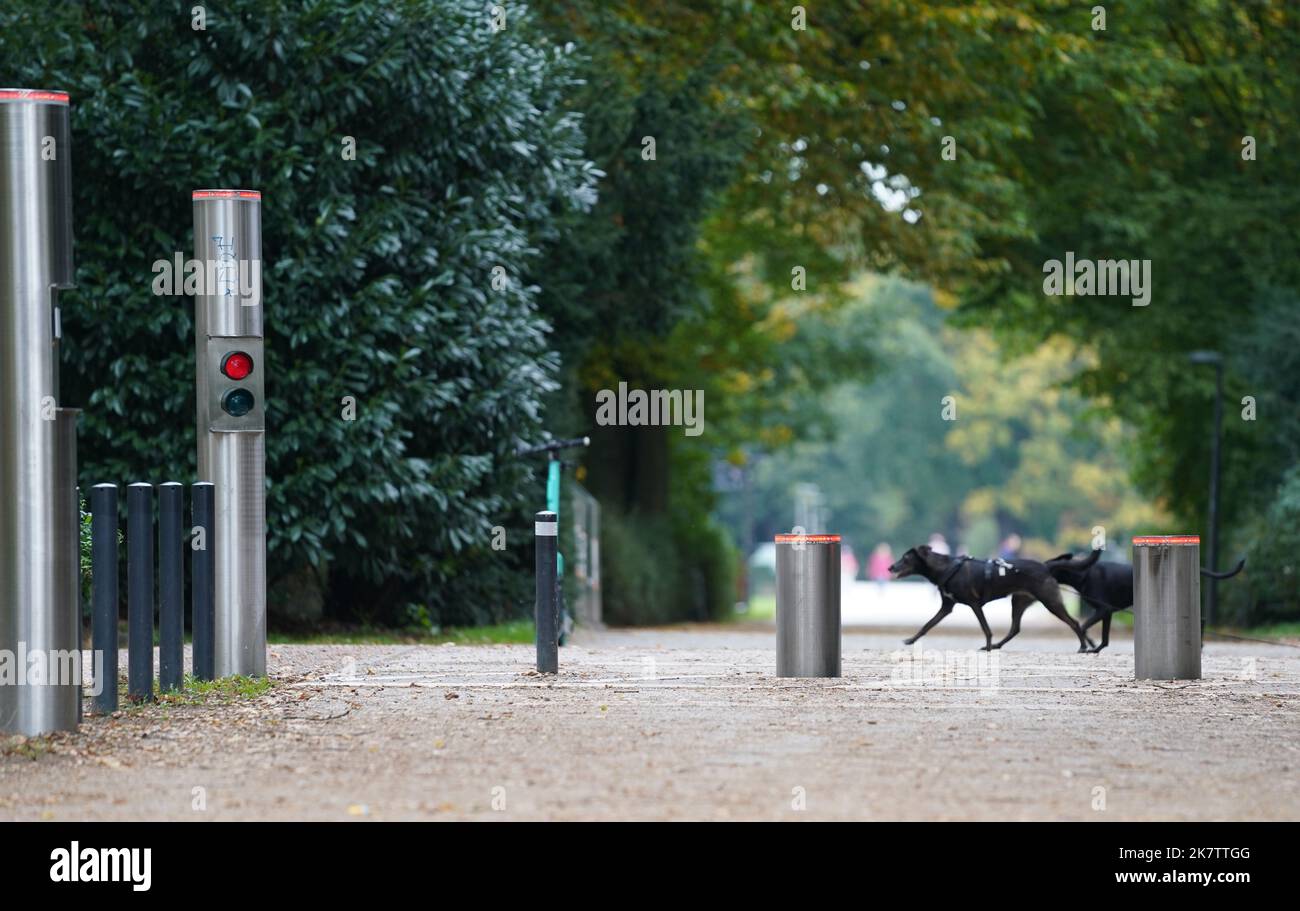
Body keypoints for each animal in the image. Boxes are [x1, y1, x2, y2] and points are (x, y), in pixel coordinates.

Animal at [889, 543, 1092, 649]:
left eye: (906, 558)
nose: (890, 567)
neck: (946, 568)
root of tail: (1045, 566)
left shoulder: (974, 604)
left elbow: (985, 628)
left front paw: (987, 646)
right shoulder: (947, 607)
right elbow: (928, 624)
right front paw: (911, 640)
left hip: (1050, 601)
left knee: (1074, 622)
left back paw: (1083, 646)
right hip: (1018, 601)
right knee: (1015, 628)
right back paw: (997, 646)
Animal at [1040, 551, 1242, 649]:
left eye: (1048, 565)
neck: (1083, 573)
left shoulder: (1104, 609)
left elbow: (1082, 626)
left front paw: (1088, 644)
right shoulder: (1107, 613)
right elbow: (1103, 638)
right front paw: (1094, 646)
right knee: (1201, 619)